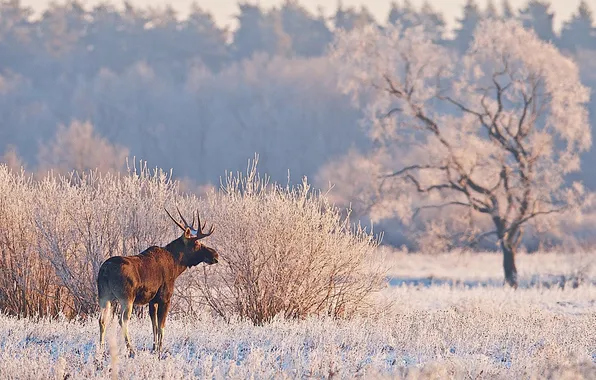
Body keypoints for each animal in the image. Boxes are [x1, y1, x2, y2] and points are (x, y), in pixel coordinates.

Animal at [98, 206, 219, 354]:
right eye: (196, 242)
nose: (215, 255)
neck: (176, 265)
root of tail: (105, 270)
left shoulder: (152, 300)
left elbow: (154, 325)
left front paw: (154, 347)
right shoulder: (165, 297)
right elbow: (162, 325)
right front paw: (160, 349)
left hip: (104, 296)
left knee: (102, 320)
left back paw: (100, 350)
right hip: (126, 297)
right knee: (122, 320)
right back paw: (131, 349)